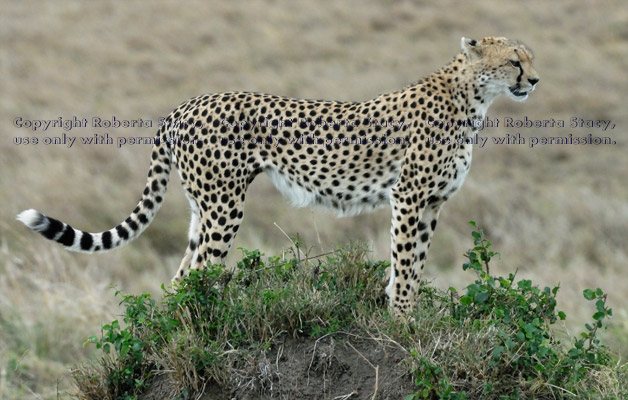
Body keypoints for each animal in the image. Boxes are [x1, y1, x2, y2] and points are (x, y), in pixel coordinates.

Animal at [17, 36, 536, 314]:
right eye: (514, 60)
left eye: (529, 58)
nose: (534, 80)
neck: (472, 98)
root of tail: (184, 106)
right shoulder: (408, 198)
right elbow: (406, 265)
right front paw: (403, 324)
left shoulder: (430, 204)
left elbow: (414, 263)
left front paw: (406, 317)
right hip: (224, 206)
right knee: (199, 274)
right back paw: (207, 331)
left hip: (201, 210)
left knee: (181, 276)